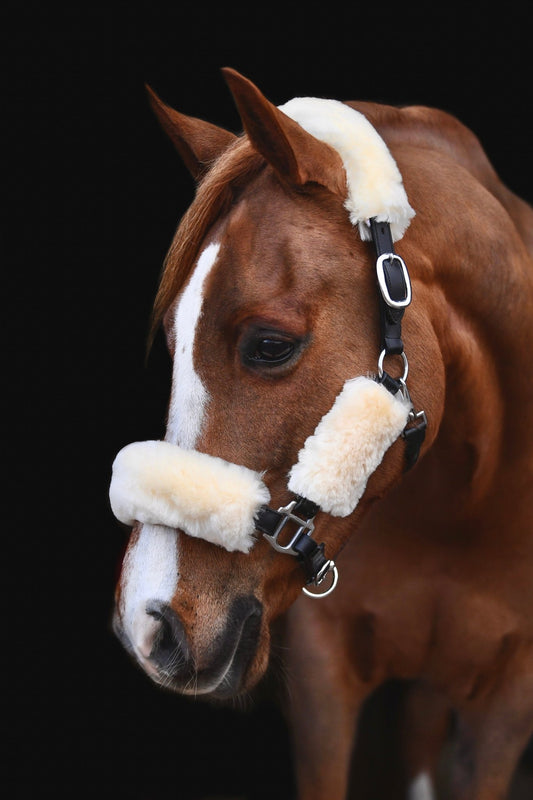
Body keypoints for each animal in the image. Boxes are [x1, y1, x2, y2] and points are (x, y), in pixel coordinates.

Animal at [109, 70, 532, 800]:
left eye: (270, 345)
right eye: (170, 339)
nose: (148, 623)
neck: (460, 516)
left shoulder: (501, 712)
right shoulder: (322, 689)